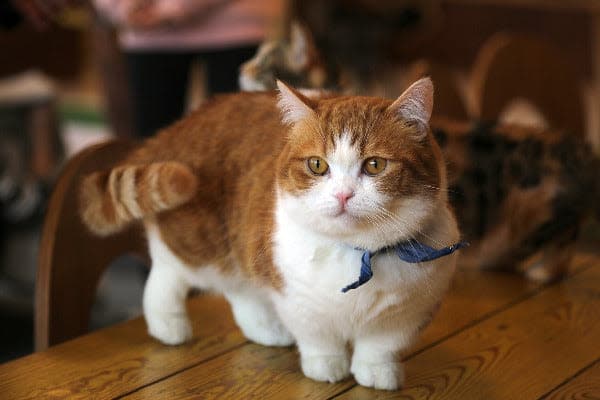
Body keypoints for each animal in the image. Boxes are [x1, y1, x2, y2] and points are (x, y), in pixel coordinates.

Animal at [78, 79, 464, 390]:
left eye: (375, 165)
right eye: (317, 165)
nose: (343, 195)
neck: (358, 252)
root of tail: (176, 127)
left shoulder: (409, 309)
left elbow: (381, 345)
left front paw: (376, 371)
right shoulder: (294, 295)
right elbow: (317, 336)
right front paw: (326, 364)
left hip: (243, 243)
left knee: (238, 288)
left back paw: (263, 328)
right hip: (202, 242)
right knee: (167, 271)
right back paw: (167, 323)